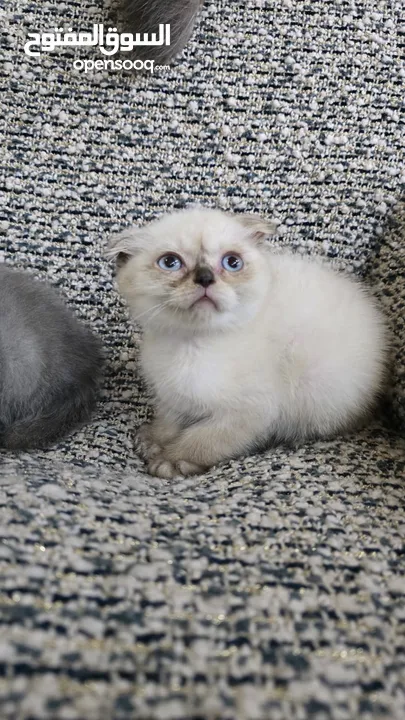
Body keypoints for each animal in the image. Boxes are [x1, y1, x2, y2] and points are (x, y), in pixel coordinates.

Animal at [107, 208, 388, 478]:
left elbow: (203, 439)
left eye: (232, 262)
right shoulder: (173, 396)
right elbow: (169, 420)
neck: (191, 346)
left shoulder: (249, 412)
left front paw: (171, 460)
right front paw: (154, 441)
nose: (205, 278)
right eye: (170, 262)